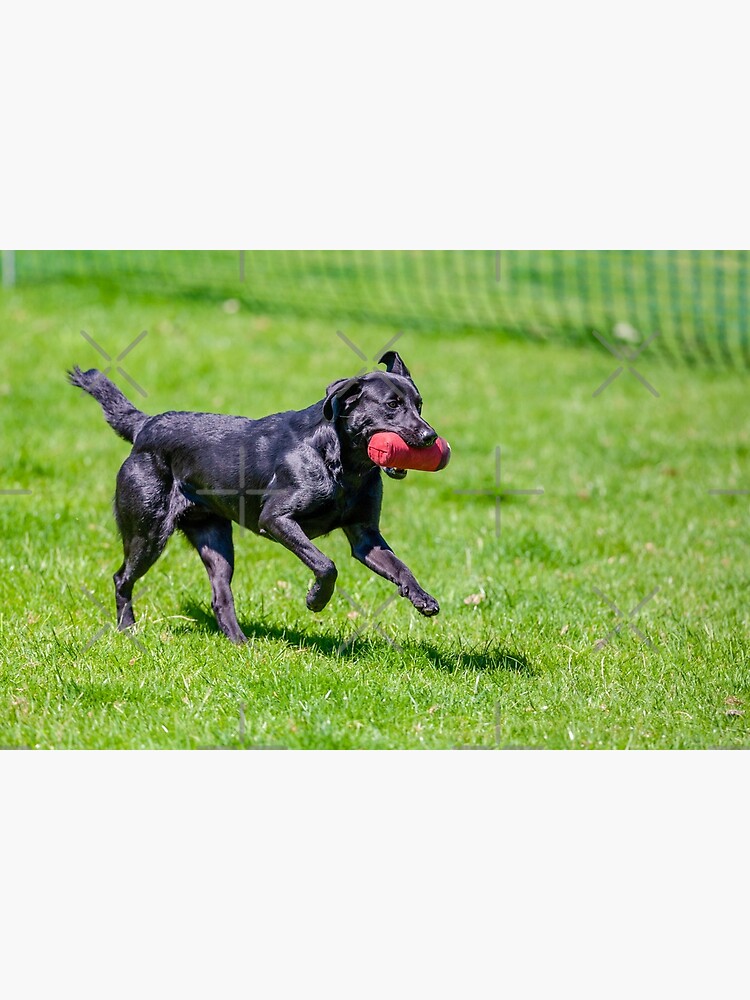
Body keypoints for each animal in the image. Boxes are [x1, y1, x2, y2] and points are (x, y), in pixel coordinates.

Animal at [70, 356, 440, 644]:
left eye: (420, 404)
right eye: (391, 405)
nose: (430, 436)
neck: (341, 464)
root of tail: (144, 427)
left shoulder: (365, 537)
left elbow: (401, 568)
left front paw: (423, 599)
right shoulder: (276, 519)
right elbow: (326, 564)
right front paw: (316, 600)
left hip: (215, 540)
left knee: (220, 597)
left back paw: (240, 644)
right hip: (148, 533)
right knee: (122, 578)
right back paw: (127, 629)